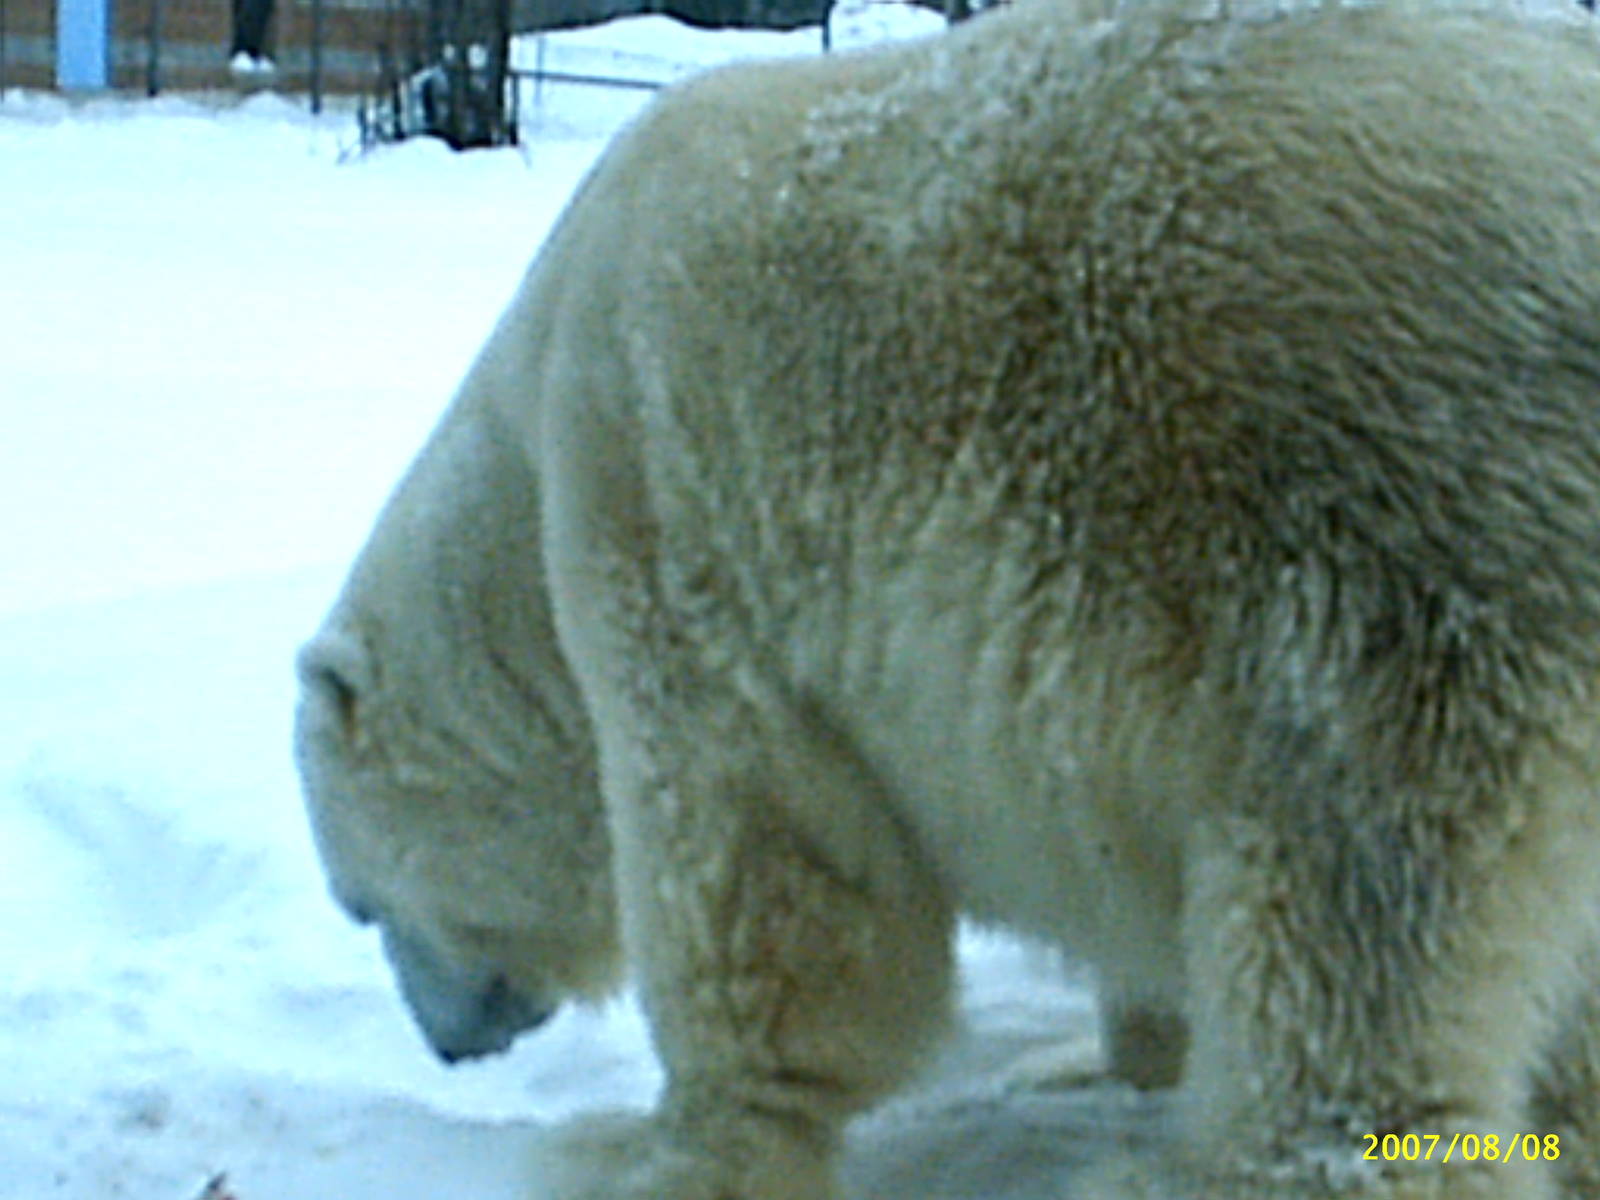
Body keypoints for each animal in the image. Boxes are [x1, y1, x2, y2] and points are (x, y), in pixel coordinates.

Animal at [293, 0, 1600, 1196]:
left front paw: (649, 1149)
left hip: (1386, 549)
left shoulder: (655, 507)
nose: (447, 1042)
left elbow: (756, 864)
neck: (520, 447)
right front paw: (1111, 1051)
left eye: (360, 904)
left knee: (1348, 918)